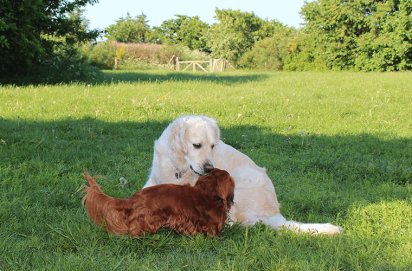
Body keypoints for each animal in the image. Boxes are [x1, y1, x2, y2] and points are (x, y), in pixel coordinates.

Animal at [143, 116, 342, 235]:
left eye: (213, 146)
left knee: (238, 221)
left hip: (240, 181)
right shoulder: (155, 178)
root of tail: (275, 213)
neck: (179, 166)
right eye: (196, 145)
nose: (209, 168)